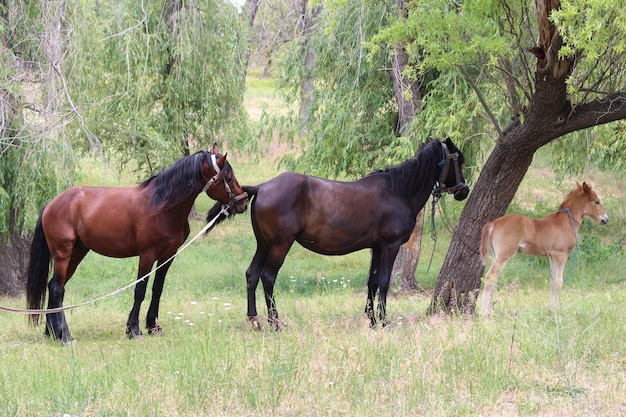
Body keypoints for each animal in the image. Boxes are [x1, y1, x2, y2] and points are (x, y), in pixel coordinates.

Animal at [26, 144, 246, 342]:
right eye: (228, 177)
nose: (243, 202)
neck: (161, 206)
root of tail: (51, 204)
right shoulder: (147, 255)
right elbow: (140, 290)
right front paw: (134, 329)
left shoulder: (168, 255)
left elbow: (157, 289)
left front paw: (153, 326)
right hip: (63, 253)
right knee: (57, 289)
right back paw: (64, 335)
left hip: (77, 253)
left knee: (55, 286)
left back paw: (53, 332)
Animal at [208, 139, 468, 328]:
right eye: (459, 160)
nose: (463, 190)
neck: (398, 191)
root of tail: (262, 187)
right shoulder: (390, 246)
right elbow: (384, 282)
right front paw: (384, 321)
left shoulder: (376, 247)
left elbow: (373, 282)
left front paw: (371, 320)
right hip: (280, 246)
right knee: (268, 277)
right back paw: (275, 322)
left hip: (264, 245)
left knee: (252, 275)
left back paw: (254, 320)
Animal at [478, 180, 604, 314]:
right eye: (597, 201)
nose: (605, 219)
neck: (564, 223)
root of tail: (494, 223)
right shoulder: (561, 255)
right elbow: (558, 282)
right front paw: (556, 311)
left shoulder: (552, 257)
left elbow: (552, 282)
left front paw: (551, 309)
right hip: (504, 255)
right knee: (490, 277)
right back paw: (484, 312)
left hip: (496, 255)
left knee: (495, 279)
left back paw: (490, 311)